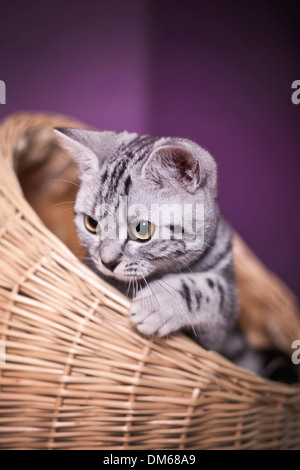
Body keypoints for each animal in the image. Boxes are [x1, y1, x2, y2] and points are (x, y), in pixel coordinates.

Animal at [54, 129, 239, 352]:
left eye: (141, 229)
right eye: (91, 223)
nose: (107, 262)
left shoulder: (220, 330)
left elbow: (213, 289)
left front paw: (158, 302)